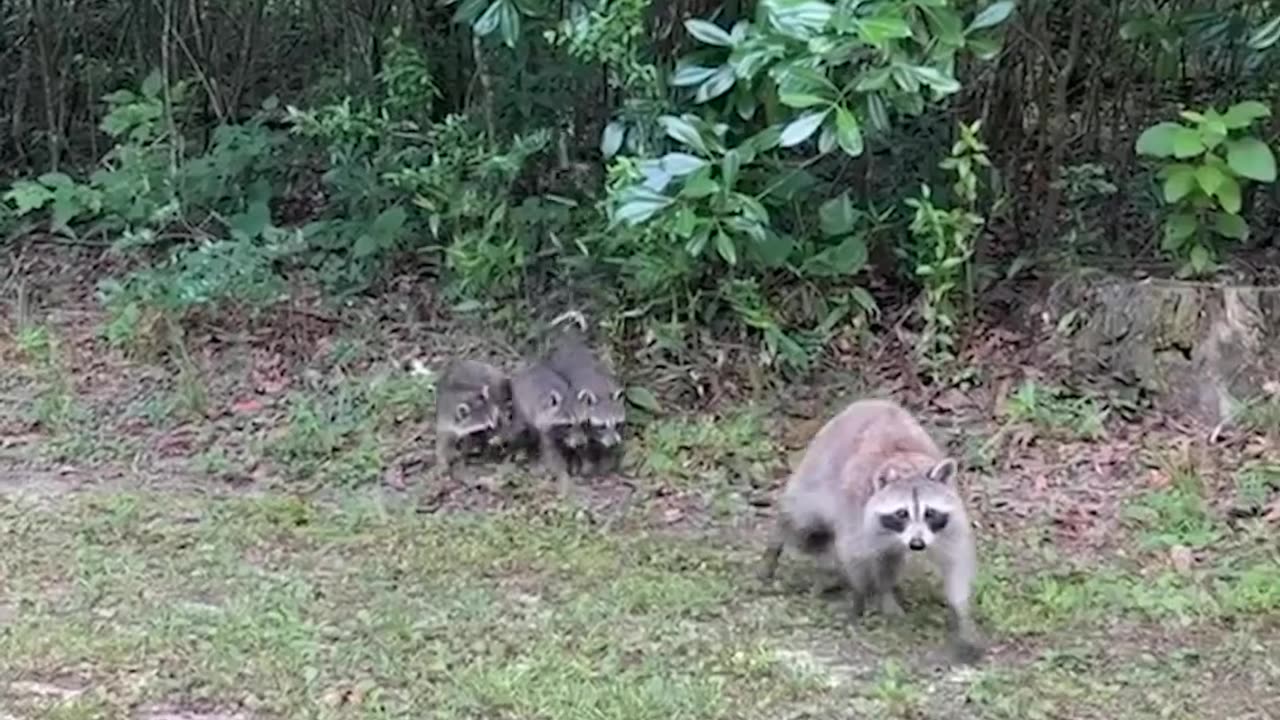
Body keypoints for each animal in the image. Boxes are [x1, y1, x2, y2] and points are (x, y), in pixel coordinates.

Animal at [752, 394, 983, 666]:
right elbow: (854, 552)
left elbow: (955, 561)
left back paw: (884, 592)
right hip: (817, 474)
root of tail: (870, 401)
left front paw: (962, 613)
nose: (916, 545)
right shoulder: (857, 510)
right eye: (902, 513)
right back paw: (776, 548)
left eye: (930, 513)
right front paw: (859, 598)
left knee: (889, 559)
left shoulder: (949, 520)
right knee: (799, 522)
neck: (908, 467)